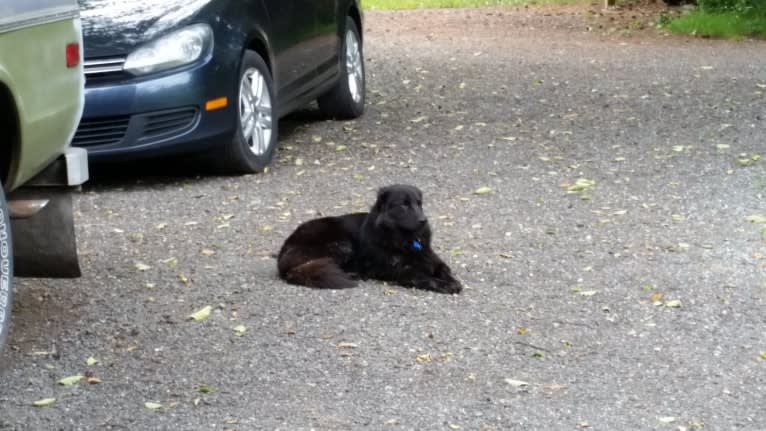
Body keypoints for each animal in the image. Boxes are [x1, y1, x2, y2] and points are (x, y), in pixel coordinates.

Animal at [280, 184, 464, 296]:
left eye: (419, 204)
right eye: (403, 205)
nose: (423, 220)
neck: (405, 240)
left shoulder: (431, 259)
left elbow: (444, 270)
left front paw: (451, 280)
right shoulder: (403, 271)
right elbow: (427, 278)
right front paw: (445, 285)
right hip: (343, 245)